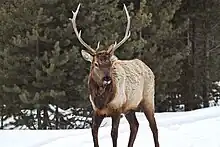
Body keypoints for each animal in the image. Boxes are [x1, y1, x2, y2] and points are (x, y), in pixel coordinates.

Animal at [70, 3, 160, 147]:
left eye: (111, 64)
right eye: (96, 64)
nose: (107, 79)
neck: (102, 101)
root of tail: (148, 67)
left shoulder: (117, 109)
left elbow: (114, 134)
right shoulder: (97, 111)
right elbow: (94, 132)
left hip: (148, 99)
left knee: (153, 127)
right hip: (130, 108)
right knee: (135, 125)